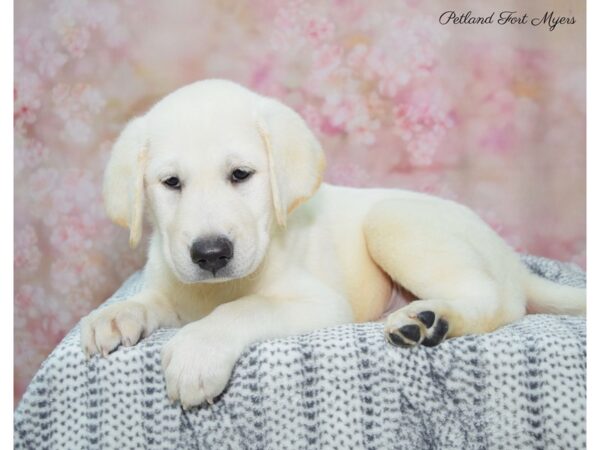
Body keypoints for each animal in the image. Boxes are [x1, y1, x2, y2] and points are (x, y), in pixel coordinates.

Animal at [79, 79, 584, 410]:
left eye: (241, 175)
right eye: (170, 183)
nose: (210, 254)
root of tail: (510, 259)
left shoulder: (318, 301)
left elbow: (243, 309)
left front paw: (196, 352)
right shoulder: (176, 288)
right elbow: (152, 299)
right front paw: (114, 316)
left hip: (394, 220)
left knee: (497, 300)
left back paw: (427, 320)